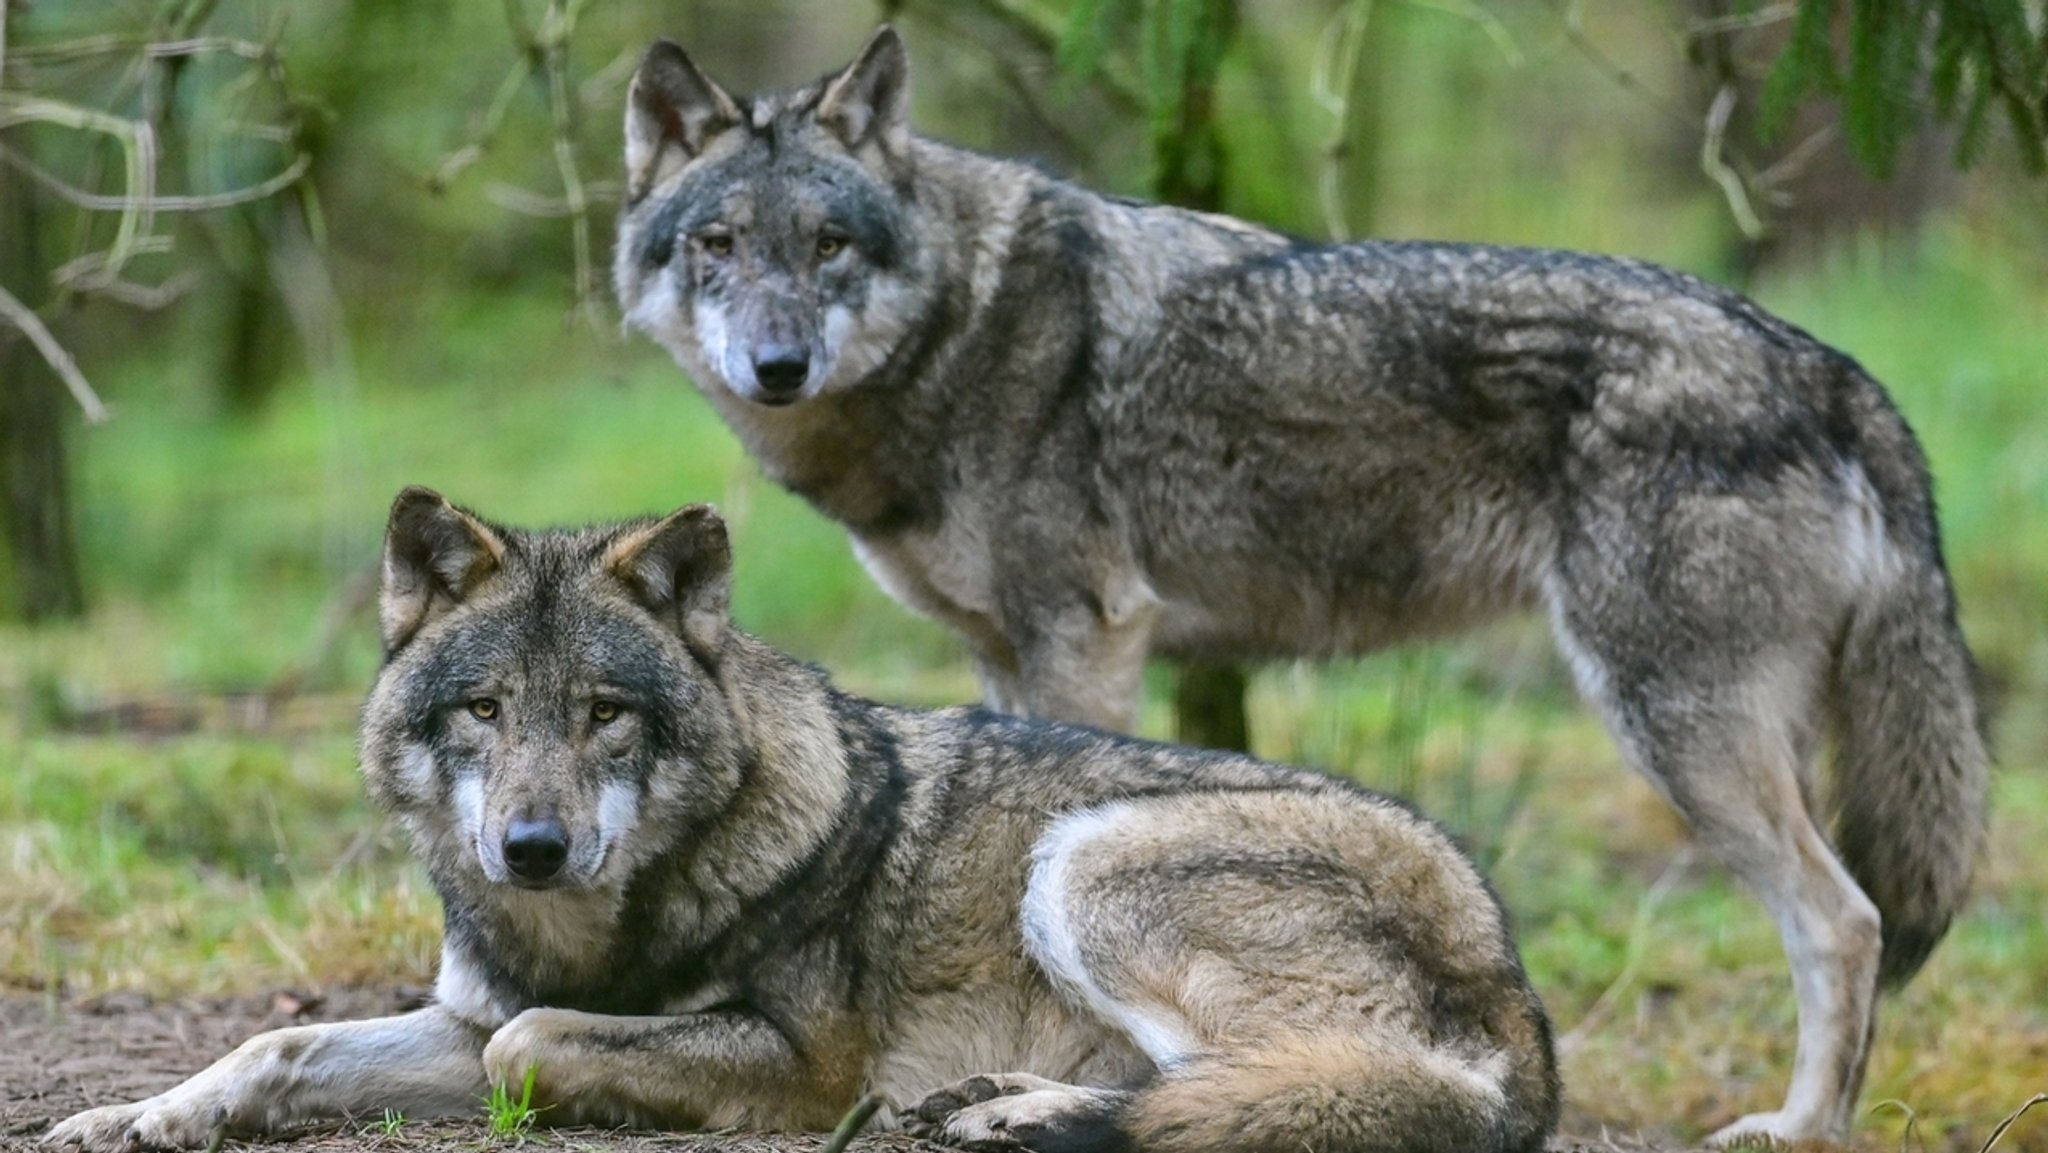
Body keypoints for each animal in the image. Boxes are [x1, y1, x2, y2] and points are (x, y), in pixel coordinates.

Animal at [44, 487, 1548, 1153]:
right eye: (483, 710)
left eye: (606, 714)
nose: (531, 848)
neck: (606, 927)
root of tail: (1517, 980)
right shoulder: (468, 1014)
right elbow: (281, 1044)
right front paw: (131, 1117)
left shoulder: (799, 1063)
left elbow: (534, 1048)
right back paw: (1006, 1106)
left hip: (1085, 861)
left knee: (1323, 1089)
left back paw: (1030, 1114)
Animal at [614, 24, 1990, 1146]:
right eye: (718, 246)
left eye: (828, 245)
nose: (776, 365)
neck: (964, 322)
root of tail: (1827, 366)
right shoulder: (1004, 655)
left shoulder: (1082, 638)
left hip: (1671, 729)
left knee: (1844, 922)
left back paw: (1799, 1126)